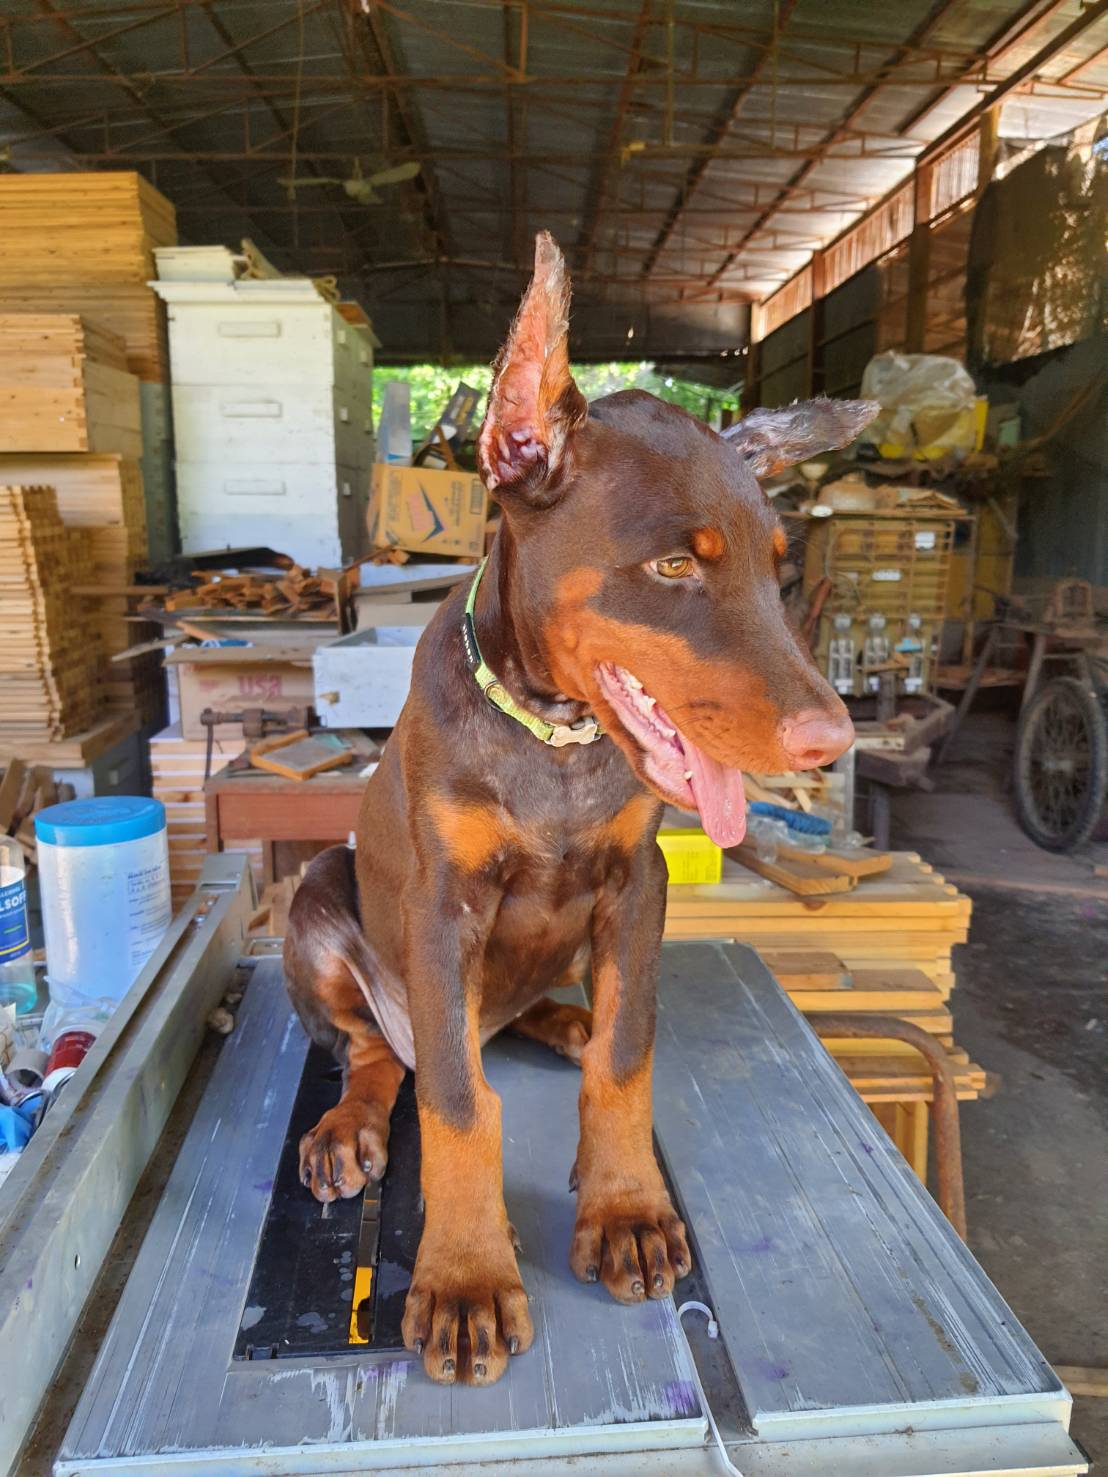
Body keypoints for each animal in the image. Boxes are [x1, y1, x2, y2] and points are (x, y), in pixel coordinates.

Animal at [284, 232, 874, 1387]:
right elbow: (456, 1101)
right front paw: (466, 1275)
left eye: (780, 569)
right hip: (321, 897)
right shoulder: (441, 904)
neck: (552, 735)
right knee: (383, 1050)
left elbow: (627, 1053)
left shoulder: (636, 882)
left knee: (537, 1017)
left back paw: (563, 1017)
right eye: (675, 562)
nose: (832, 743)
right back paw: (349, 1121)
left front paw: (627, 1209)